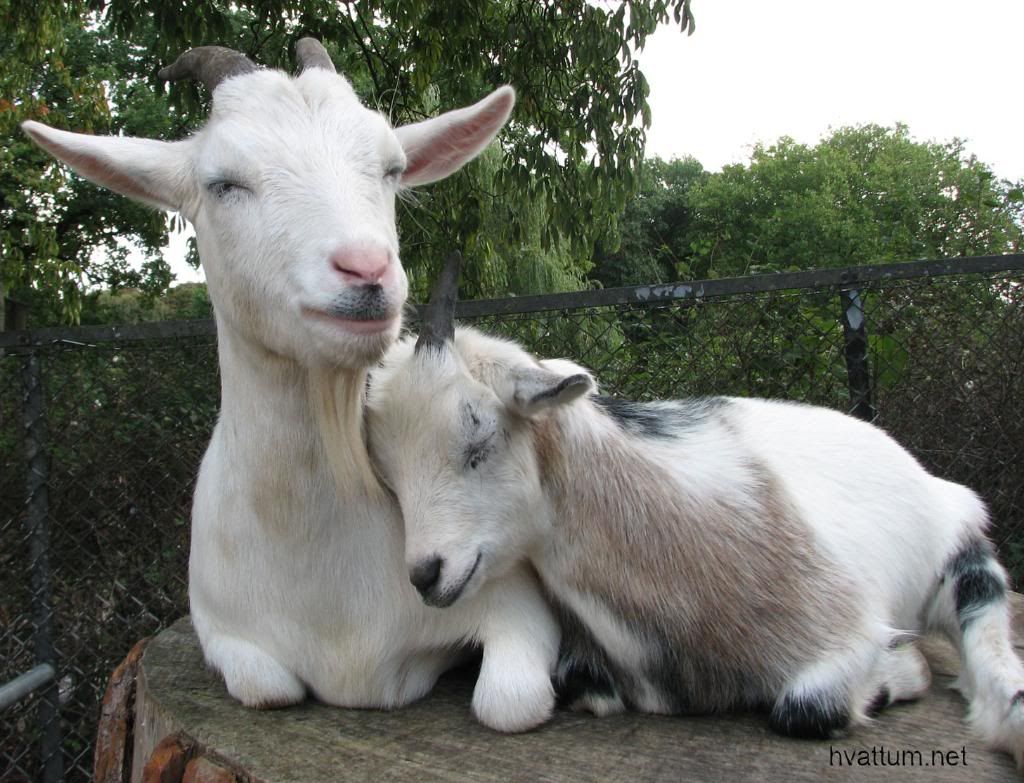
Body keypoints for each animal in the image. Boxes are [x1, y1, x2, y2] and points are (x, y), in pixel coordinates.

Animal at [23, 41, 558, 732]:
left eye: (392, 168)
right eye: (223, 183)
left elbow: (509, 704)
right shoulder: (222, 631)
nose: (366, 269)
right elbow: (268, 689)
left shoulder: (516, 607)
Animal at [366, 251, 1024, 763]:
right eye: (388, 475)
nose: (425, 574)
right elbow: (582, 683)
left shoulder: (851, 628)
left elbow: (808, 706)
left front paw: (896, 675)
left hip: (963, 556)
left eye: (479, 439)